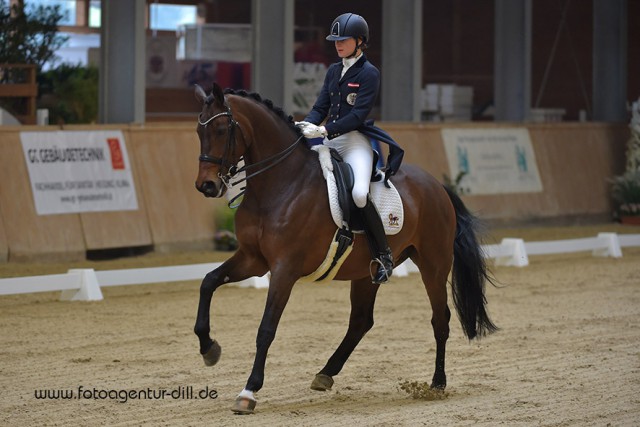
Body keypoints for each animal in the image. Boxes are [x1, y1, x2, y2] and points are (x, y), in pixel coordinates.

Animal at [192, 83, 498, 414]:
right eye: (199, 130)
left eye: (221, 129)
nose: (206, 186)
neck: (280, 184)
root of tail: (437, 186)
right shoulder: (253, 260)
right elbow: (208, 282)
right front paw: (209, 349)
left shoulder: (285, 268)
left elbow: (267, 328)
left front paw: (249, 391)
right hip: (367, 273)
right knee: (361, 321)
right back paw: (325, 374)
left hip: (433, 264)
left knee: (439, 319)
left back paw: (437, 383)